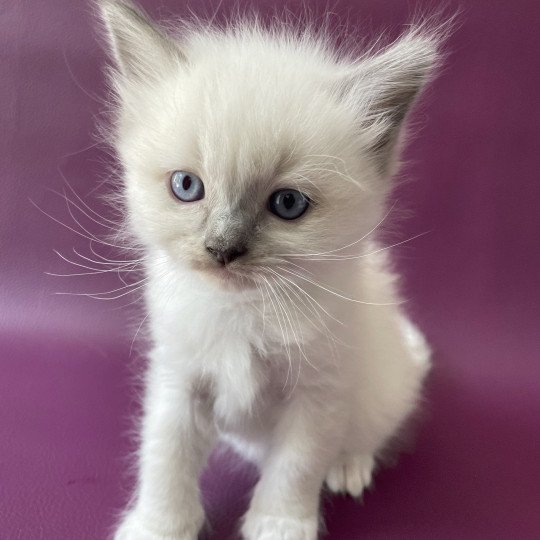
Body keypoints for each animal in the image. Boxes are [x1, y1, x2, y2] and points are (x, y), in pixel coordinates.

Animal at [99, 1, 440, 540]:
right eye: (186, 186)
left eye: (287, 204)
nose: (221, 249)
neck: (244, 310)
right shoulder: (179, 380)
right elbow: (164, 459)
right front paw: (156, 526)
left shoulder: (319, 394)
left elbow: (294, 468)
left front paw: (279, 525)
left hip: (381, 388)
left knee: (365, 434)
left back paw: (349, 467)